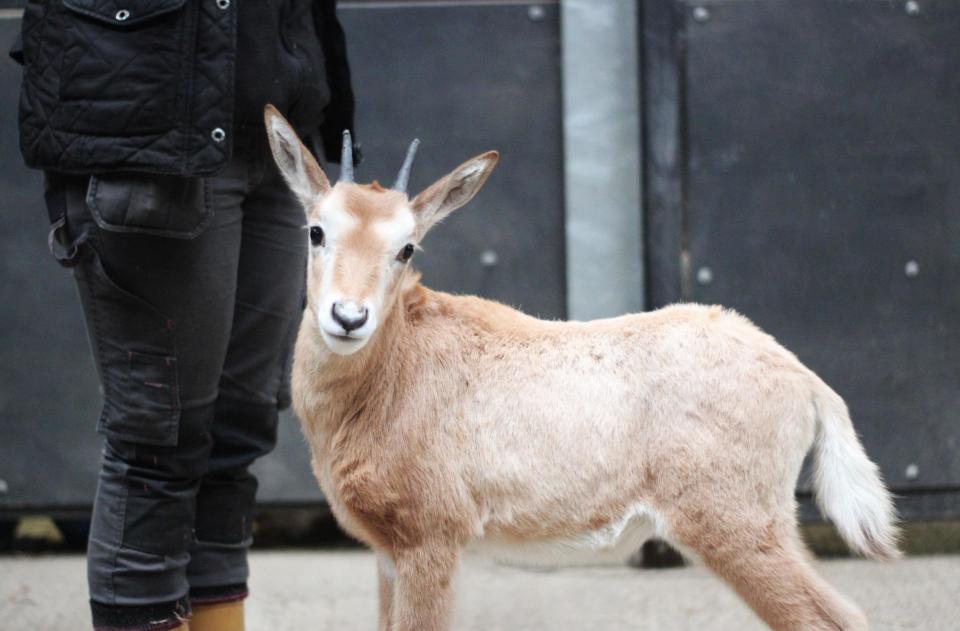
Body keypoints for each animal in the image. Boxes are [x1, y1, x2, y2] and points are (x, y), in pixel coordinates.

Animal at [262, 106, 900, 628]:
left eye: (407, 247)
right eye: (316, 230)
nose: (348, 317)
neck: (393, 373)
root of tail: (802, 377)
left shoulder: (430, 543)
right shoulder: (388, 555)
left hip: (739, 528)